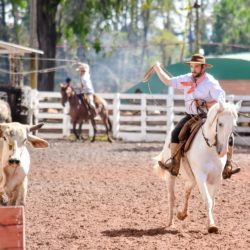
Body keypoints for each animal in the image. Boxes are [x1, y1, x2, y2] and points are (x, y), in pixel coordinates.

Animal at [154, 100, 242, 233]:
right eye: (220, 123)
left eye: (234, 126)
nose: (222, 151)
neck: (209, 148)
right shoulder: (201, 176)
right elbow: (208, 200)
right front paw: (211, 226)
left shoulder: (216, 178)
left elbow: (212, 202)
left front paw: (211, 224)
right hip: (171, 176)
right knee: (172, 197)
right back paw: (170, 223)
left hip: (192, 178)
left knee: (187, 190)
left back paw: (182, 214)